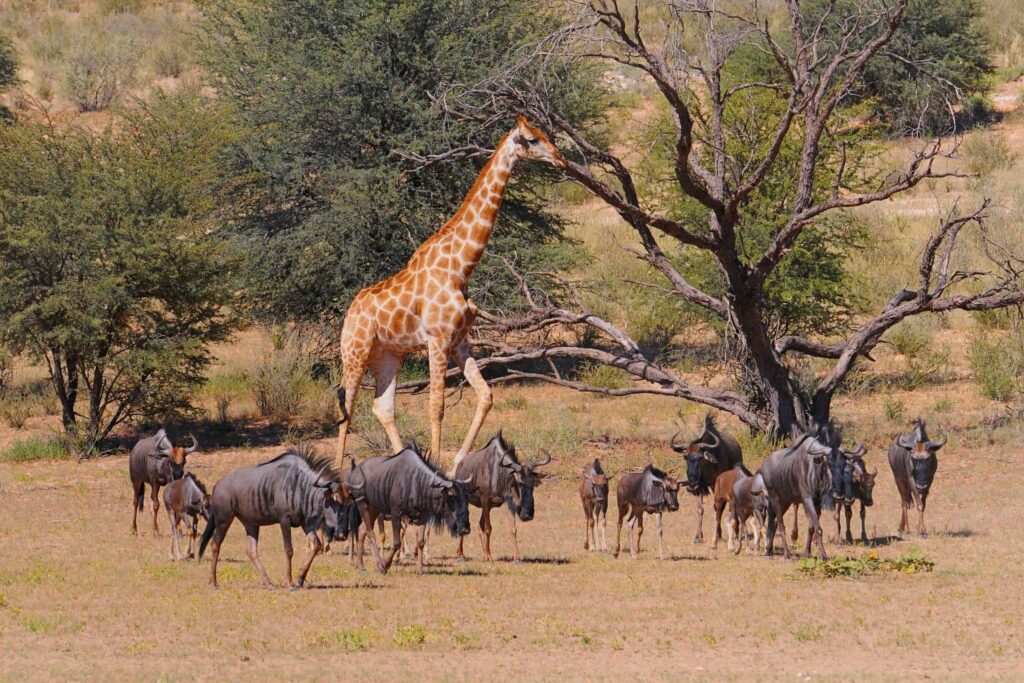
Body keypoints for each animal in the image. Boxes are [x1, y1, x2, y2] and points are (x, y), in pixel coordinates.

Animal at [333, 116, 565, 475]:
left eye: (546, 135)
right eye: (531, 139)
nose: (561, 159)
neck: (461, 267)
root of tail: (350, 312)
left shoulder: (460, 341)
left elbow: (485, 396)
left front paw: (455, 466)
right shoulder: (438, 339)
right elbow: (436, 406)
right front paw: (439, 469)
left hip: (388, 356)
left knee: (382, 407)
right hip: (354, 352)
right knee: (347, 407)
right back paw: (334, 475)